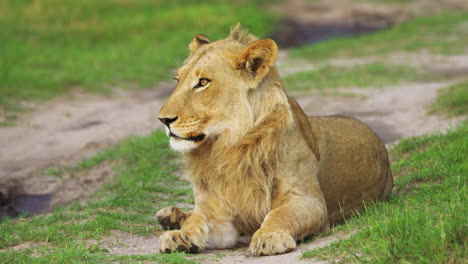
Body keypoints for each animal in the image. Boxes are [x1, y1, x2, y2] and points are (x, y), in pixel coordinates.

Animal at [155, 24, 394, 256]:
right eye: (178, 80)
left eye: (203, 82)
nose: (163, 120)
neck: (227, 147)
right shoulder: (219, 214)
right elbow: (198, 218)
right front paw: (181, 236)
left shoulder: (310, 202)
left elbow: (279, 214)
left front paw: (270, 237)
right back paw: (170, 216)